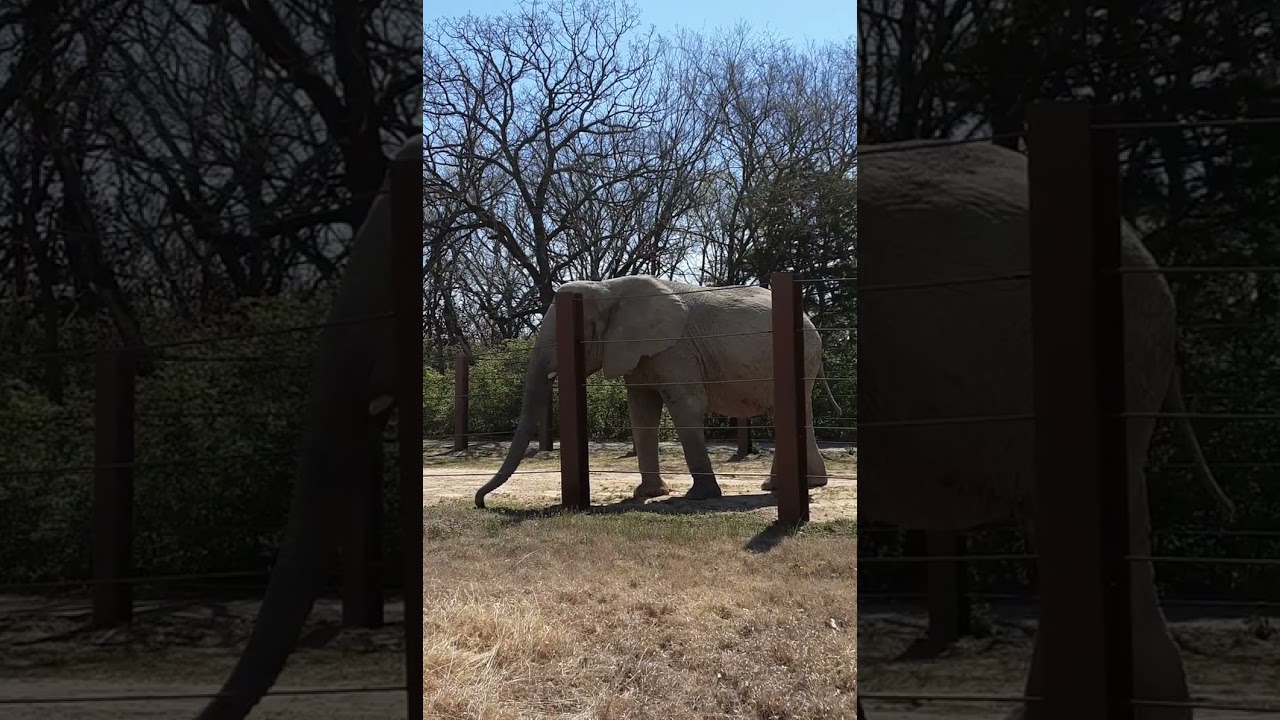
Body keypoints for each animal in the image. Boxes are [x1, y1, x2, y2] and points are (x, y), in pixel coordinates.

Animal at [473, 274, 843, 508]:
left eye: (579, 328)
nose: (480, 502)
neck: (608, 286)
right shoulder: (638, 353)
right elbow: (641, 409)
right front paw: (646, 494)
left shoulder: (674, 348)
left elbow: (684, 405)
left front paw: (699, 498)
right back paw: (786, 487)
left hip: (802, 353)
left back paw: (790, 487)